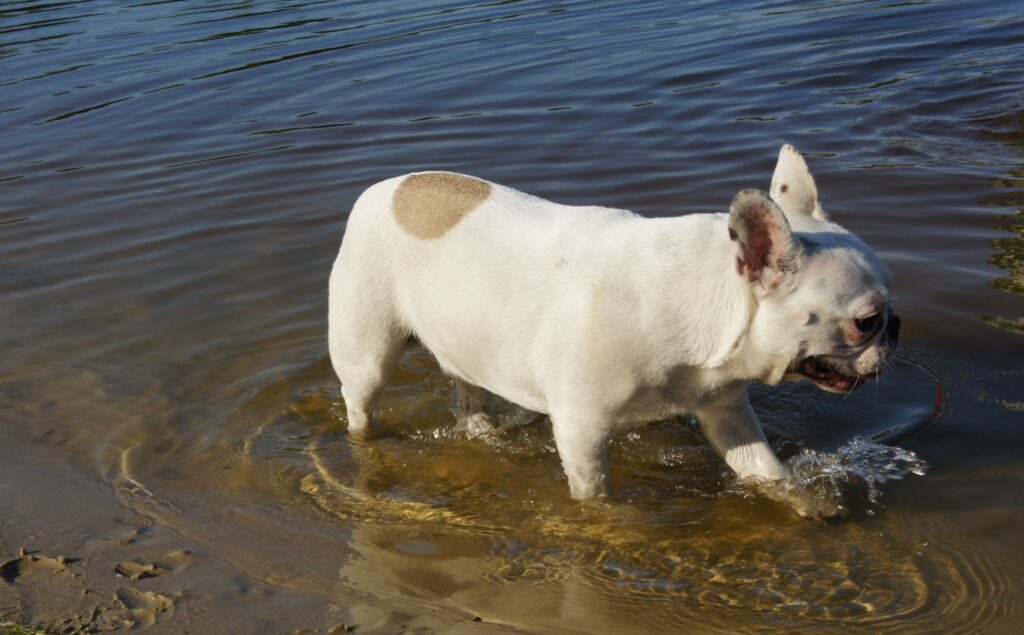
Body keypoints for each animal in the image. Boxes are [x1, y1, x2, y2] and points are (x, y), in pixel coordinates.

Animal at [327, 146, 897, 518]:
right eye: (866, 321)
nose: (896, 329)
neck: (703, 299)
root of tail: (382, 189)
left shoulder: (726, 412)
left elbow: (765, 470)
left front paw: (805, 501)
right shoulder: (581, 431)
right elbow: (594, 495)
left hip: (466, 346)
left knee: (471, 401)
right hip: (367, 355)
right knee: (361, 406)